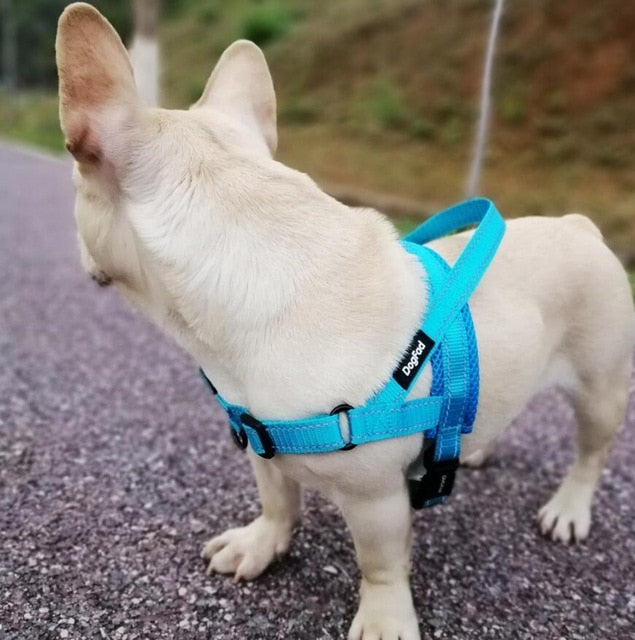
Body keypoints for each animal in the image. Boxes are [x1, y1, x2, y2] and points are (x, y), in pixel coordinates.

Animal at [56, 6, 635, 640]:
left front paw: (383, 616)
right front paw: (263, 543)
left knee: (590, 452)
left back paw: (569, 508)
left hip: (600, 384)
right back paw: (474, 448)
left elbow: (378, 560)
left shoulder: (375, 499)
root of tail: (581, 226)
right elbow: (277, 499)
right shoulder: (261, 438)